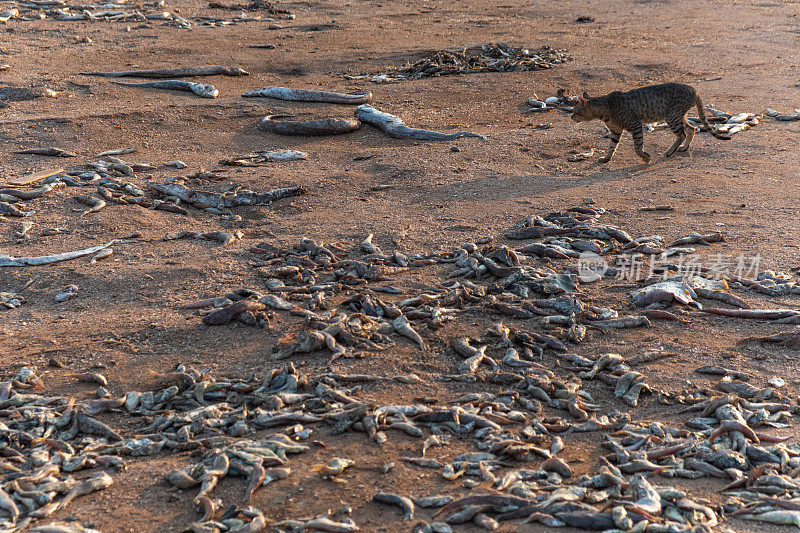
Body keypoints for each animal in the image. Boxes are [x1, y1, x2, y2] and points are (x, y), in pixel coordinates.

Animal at [568, 81, 732, 162]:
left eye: (575, 111)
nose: (571, 117)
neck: (605, 107)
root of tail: (695, 90)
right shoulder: (615, 130)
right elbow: (611, 147)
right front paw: (606, 158)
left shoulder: (635, 125)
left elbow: (637, 146)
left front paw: (645, 158)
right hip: (678, 116)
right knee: (691, 128)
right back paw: (684, 148)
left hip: (671, 117)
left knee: (682, 134)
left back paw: (669, 152)